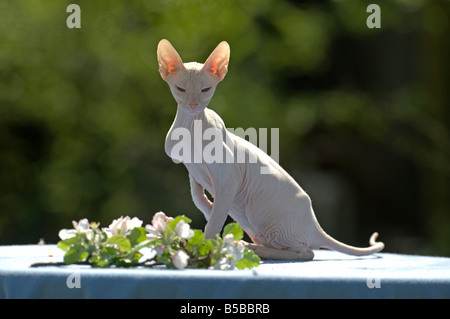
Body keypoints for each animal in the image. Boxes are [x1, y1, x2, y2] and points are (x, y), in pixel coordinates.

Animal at [157, 39, 384, 260]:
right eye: (180, 89)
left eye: (205, 90)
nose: (193, 105)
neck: (191, 127)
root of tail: (316, 227)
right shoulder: (193, 168)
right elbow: (197, 195)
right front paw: (208, 209)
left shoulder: (228, 178)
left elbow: (214, 220)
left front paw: (207, 247)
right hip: (257, 227)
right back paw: (248, 245)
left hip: (269, 219)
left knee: (306, 252)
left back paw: (255, 250)